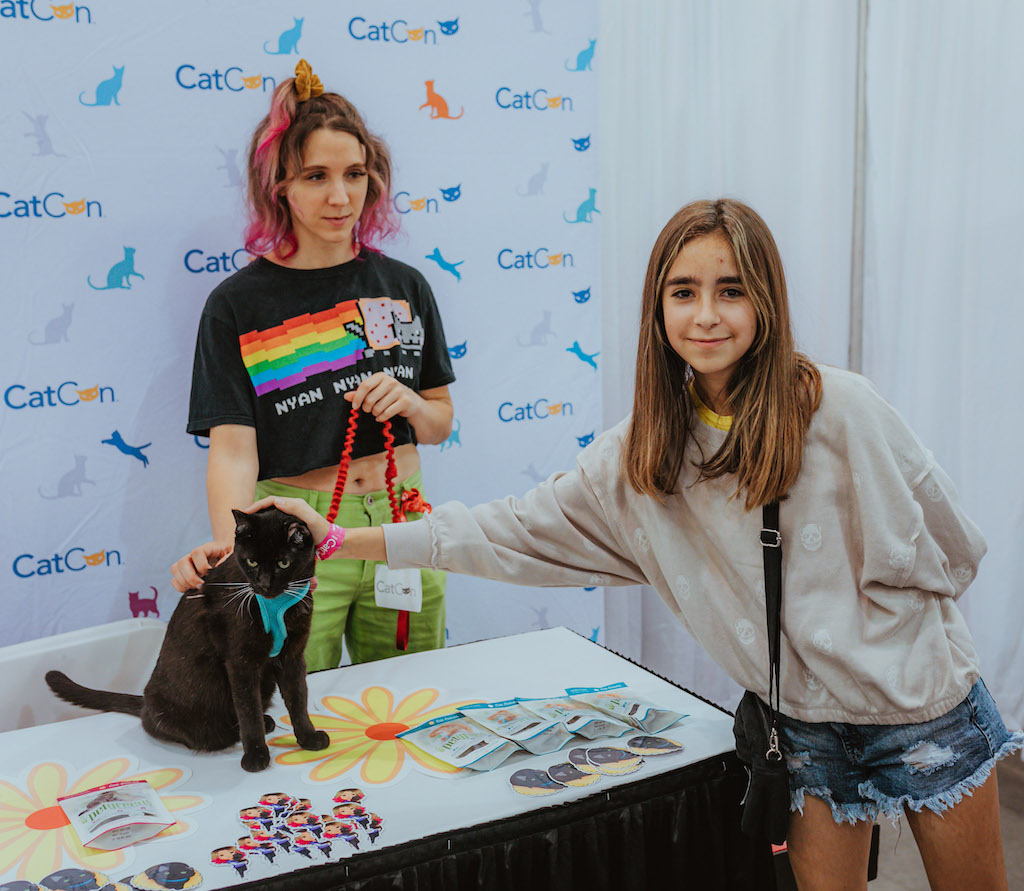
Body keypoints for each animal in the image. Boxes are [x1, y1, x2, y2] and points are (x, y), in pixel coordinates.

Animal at [45, 510, 327, 774]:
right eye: (252, 561)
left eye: (283, 563)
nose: (263, 585)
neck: (281, 607)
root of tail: (145, 704)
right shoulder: (240, 664)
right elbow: (248, 712)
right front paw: (256, 755)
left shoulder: (293, 656)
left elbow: (298, 699)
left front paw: (308, 738)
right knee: (202, 731)